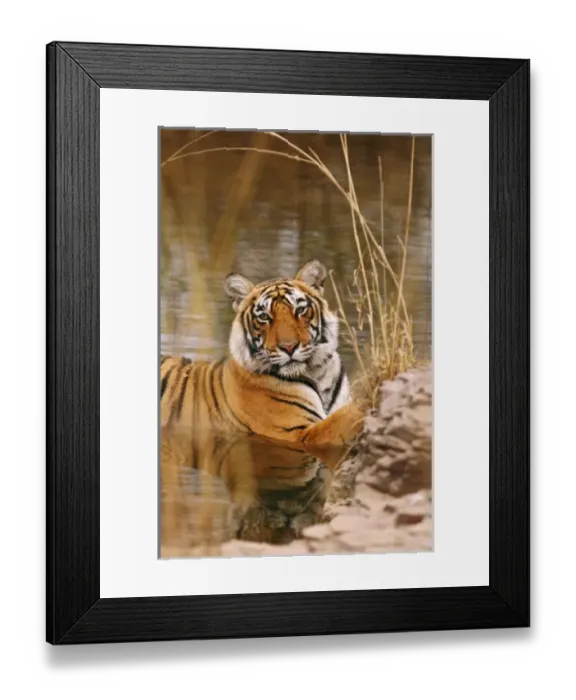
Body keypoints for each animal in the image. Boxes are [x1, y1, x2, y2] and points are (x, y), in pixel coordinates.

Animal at [159, 259, 364, 454]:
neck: (318, 373)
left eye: (299, 310)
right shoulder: (297, 433)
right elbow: (343, 419)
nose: (289, 347)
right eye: (264, 317)